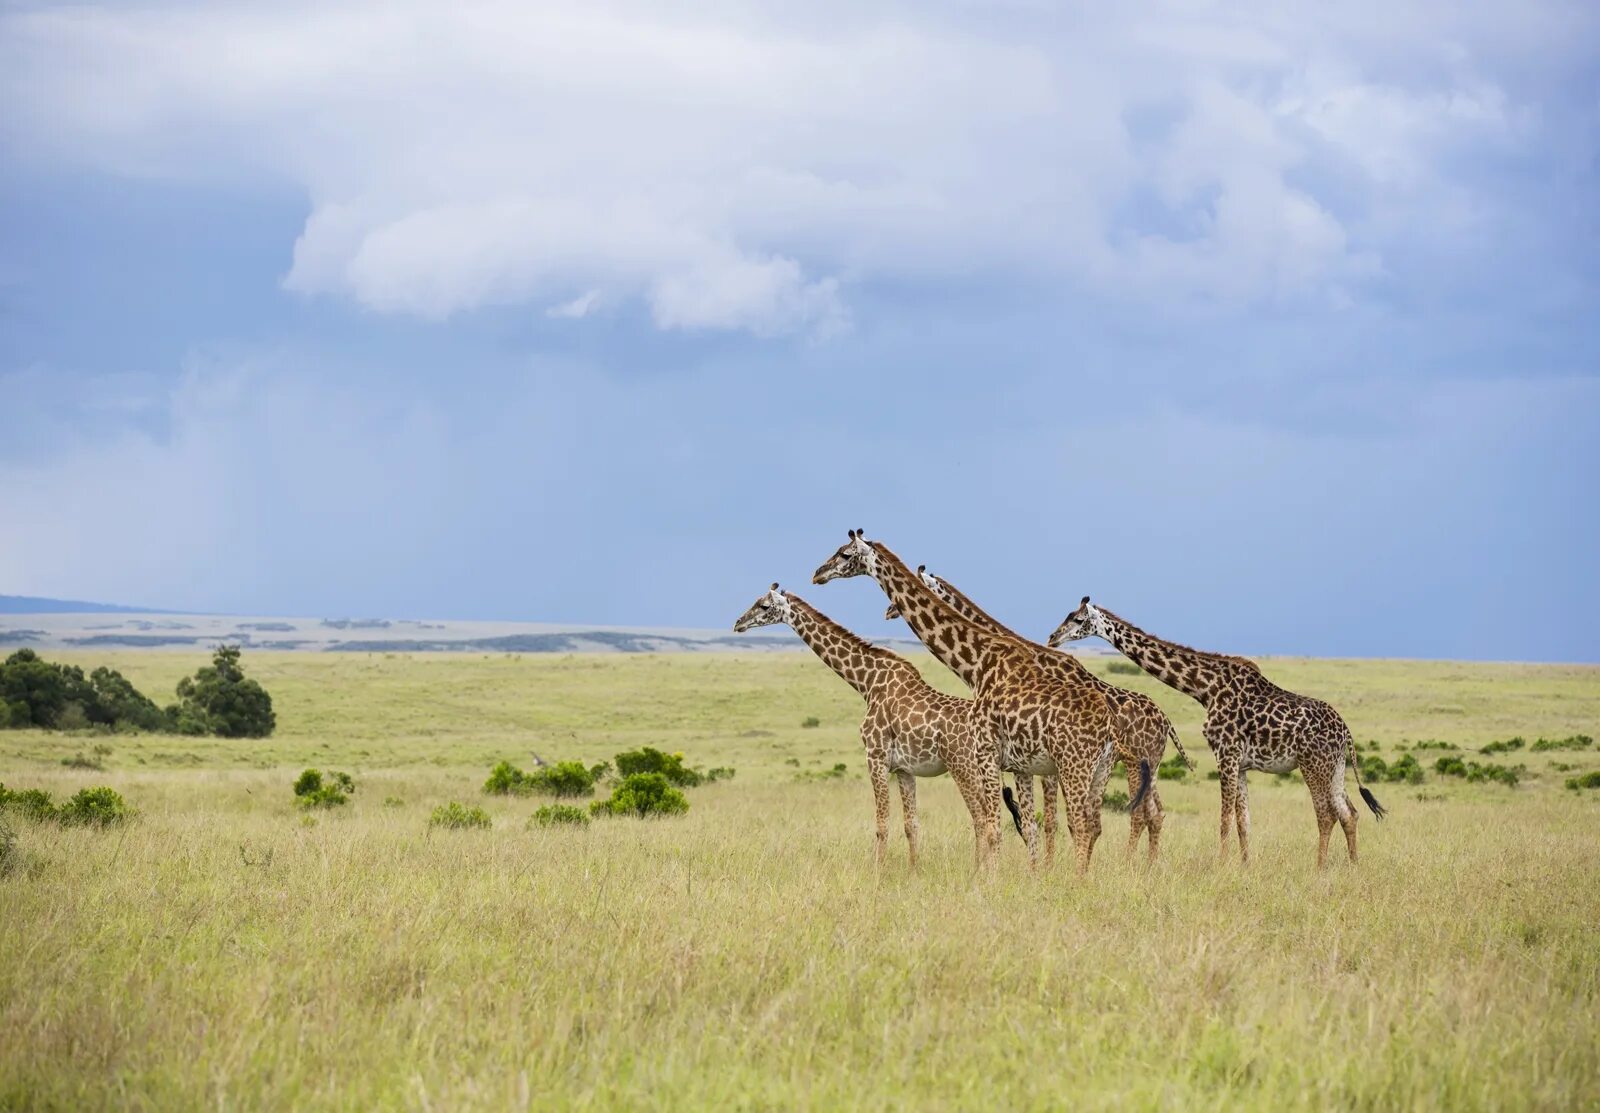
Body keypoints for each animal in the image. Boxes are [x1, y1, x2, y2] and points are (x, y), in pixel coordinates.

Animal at [732, 582, 998, 869]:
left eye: (764, 606)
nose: (738, 623)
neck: (866, 682)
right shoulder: (904, 768)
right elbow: (911, 824)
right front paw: (913, 870)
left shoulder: (875, 756)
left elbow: (882, 824)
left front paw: (877, 871)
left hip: (962, 765)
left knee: (982, 817)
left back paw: (979, 870)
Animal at [812, 534, 1113, 876]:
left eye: (844, 553)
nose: (818, 574)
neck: (977, 666)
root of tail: (1108, 726)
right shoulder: (1017, 764)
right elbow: (1024, 826)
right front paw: (1029, 877)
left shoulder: (987, 753)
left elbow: (994, 826)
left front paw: (989, 880)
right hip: (1099, 770)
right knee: (1092, 825)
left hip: (1073, 767)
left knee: (1080, 825)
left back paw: (1076, 881)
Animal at [883, 566, 1196, 863]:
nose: (888, 610)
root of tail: (1166, 721)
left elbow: (1051, 821)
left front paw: (1047, 867)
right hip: (1147, 765)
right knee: (1154, 813)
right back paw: (1147, 867)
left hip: (1134, 762)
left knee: (1137, 814)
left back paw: (1130, 864)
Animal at [1049, 601, 1388, 869]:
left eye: (1077, 619)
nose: (1053, 637)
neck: (1205, 688)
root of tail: (1346, 733)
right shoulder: (1241, 763)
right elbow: (1243, 822)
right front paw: (1245, 866)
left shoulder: (1225, 754)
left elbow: (1224, 820)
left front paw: (1221, 866)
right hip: (1336, 767)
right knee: (1349, 812)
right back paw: (1353, 865)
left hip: (1313, 764)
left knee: (1326, 814)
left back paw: (1320, 867)